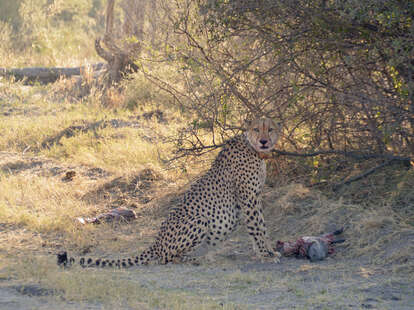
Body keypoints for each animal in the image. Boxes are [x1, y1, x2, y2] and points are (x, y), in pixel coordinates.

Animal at [58, 117, 284, 268]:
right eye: (256, 129)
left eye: (270, 129)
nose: (264, 141)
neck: (253, 148)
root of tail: (156, 242)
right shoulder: (248, 198)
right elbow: (257, 227)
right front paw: (266, 254)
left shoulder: (254, 198)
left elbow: (260, 227)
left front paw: (266, 252)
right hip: (199, 219)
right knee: (166, 258)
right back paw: (197, 258)